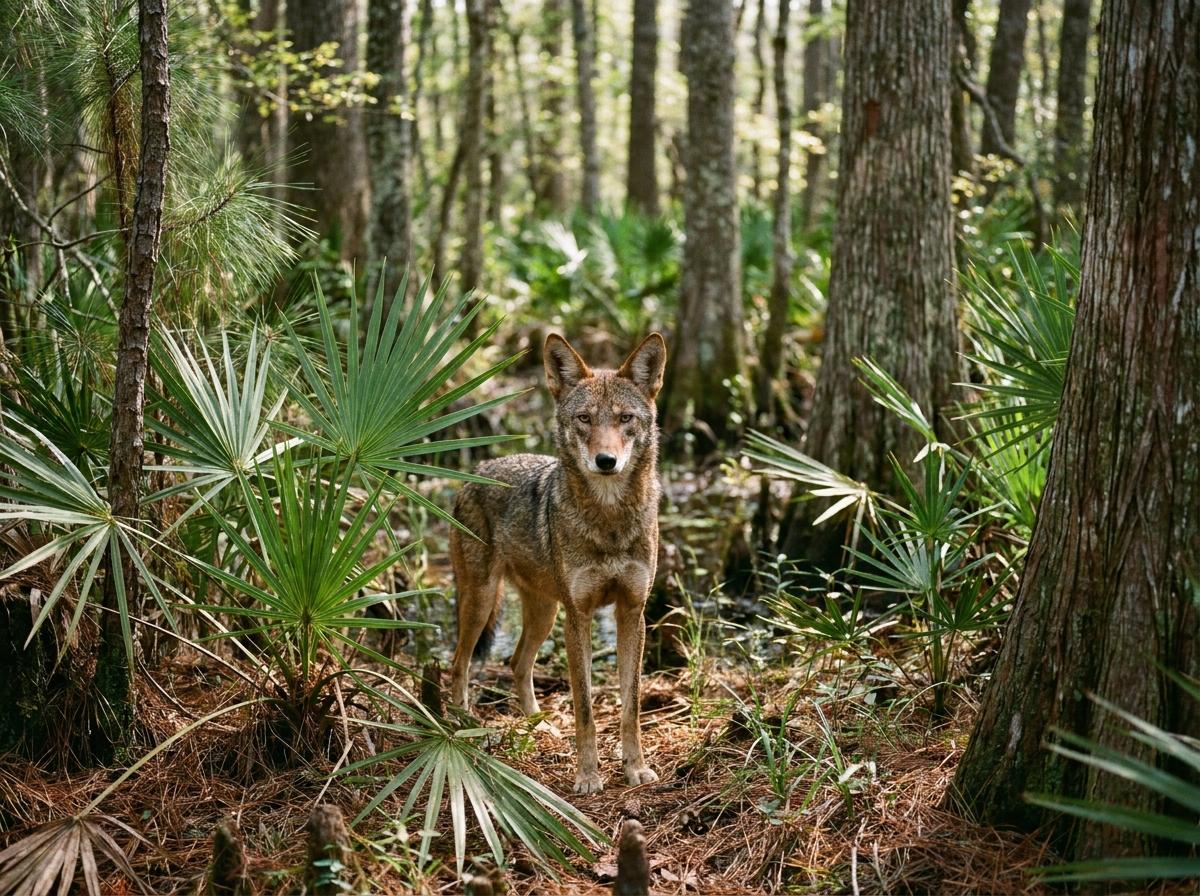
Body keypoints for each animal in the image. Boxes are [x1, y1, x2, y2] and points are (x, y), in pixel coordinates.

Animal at [448, 332, 668, 794]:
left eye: (625, 419)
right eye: (584, 418)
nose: (606, 461)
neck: (609, 521)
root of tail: (478, 468)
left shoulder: (632, 611)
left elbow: (631, 704)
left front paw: (635, 769)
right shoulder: (579, 614)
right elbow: (584, 706)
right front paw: (587, 775)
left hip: (544, 613)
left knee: (516, 663)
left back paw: (541, 726)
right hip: (482, 602)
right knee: (458, 664)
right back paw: (464, 725)